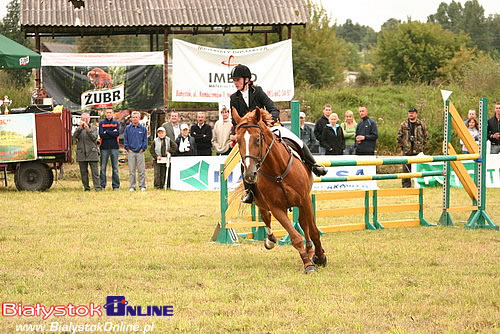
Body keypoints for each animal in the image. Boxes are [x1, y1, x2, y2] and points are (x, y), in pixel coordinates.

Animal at [233, 107, 328, 274]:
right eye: (238, 141)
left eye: (258, 139)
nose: (250, 175)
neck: (277, 171)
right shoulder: (276, 208)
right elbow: (295, 237)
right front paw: (308, 264)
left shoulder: (305, 200)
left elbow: (314, 231)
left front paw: (320, 257)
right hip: (261, 202)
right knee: (266, 217)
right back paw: (271, 240)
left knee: (304, 224)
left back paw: (311, 250)